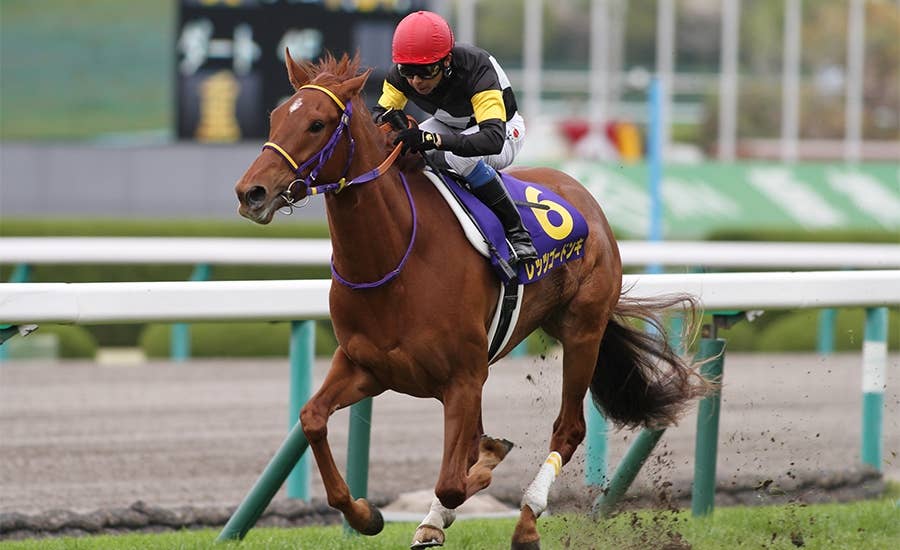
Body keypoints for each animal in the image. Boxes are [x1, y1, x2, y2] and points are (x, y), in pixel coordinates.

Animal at [234, 52, 707, 549]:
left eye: (317, 123)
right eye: (275, 117)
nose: (251, 192)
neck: (394, 259)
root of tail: (584, 197)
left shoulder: (463, 378)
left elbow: (454, 482)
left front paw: (467, 486)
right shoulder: (365, 366)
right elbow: (312, 419)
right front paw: (365, 514)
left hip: (583, 330)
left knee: (568, 427)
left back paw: (525, 522)